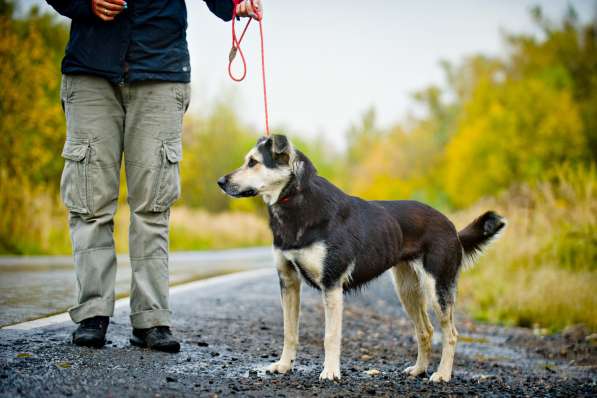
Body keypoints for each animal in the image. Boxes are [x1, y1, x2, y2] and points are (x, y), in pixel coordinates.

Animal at [217, 135, 506, 384]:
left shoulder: (331, 284)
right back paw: (419, 370)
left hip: (438, 288)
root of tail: (451, 227)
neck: (294, 203)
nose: (220, 181)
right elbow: (290, 331)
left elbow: (330, 336)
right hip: (407, 290)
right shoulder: (288, 281)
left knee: (451, 334)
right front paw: (284, 365)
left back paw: (442, 374)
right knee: (425, 331)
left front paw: (330, 372)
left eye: (253, 162)